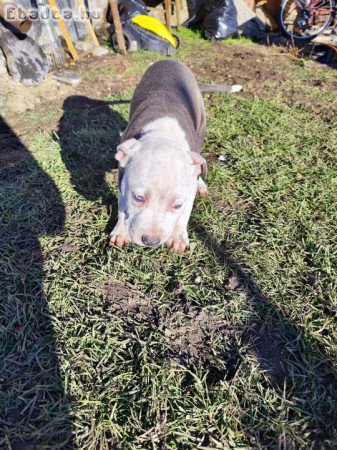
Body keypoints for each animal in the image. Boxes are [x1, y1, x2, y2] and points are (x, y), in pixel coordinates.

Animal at [109, 59, 238, 253]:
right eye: (138, 198)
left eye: (176, 205)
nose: (151, 241)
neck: (163, 134)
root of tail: (172, 60)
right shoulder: (122, 181)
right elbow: (122, 207)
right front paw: (120, 231)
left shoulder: (187, 192)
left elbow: (184, 215)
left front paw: (178, 237)